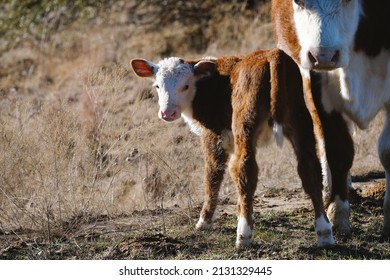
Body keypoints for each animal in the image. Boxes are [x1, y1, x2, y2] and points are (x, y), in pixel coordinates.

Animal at [131, 49, 354, 248]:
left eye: (185, 86)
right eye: (157, 86)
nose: (167, 113)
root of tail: (272, 54)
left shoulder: (213, 135)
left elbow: (213, 174)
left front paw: (204, 221)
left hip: (244, 124)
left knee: (244, 169)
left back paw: (243, 234)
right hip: (300, 121)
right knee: (310, 169)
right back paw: (325, 233)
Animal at [272, 0, 390, 237]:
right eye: (298, 1)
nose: (323, 56)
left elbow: (388, 151)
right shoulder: (318, 84)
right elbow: (338, 149)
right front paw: (337, 213)